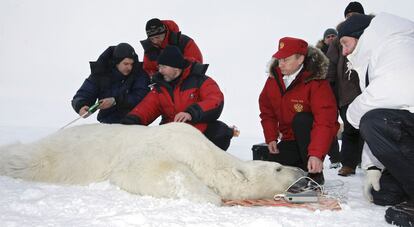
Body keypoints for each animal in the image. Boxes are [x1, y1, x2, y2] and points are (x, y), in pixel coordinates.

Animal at [0, 123, 304, 205]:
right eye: (278, 168)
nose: (301, 170)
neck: (204, 152)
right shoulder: (162, 147)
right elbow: (152, 170)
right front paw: (210, 196)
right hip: (55, 155)